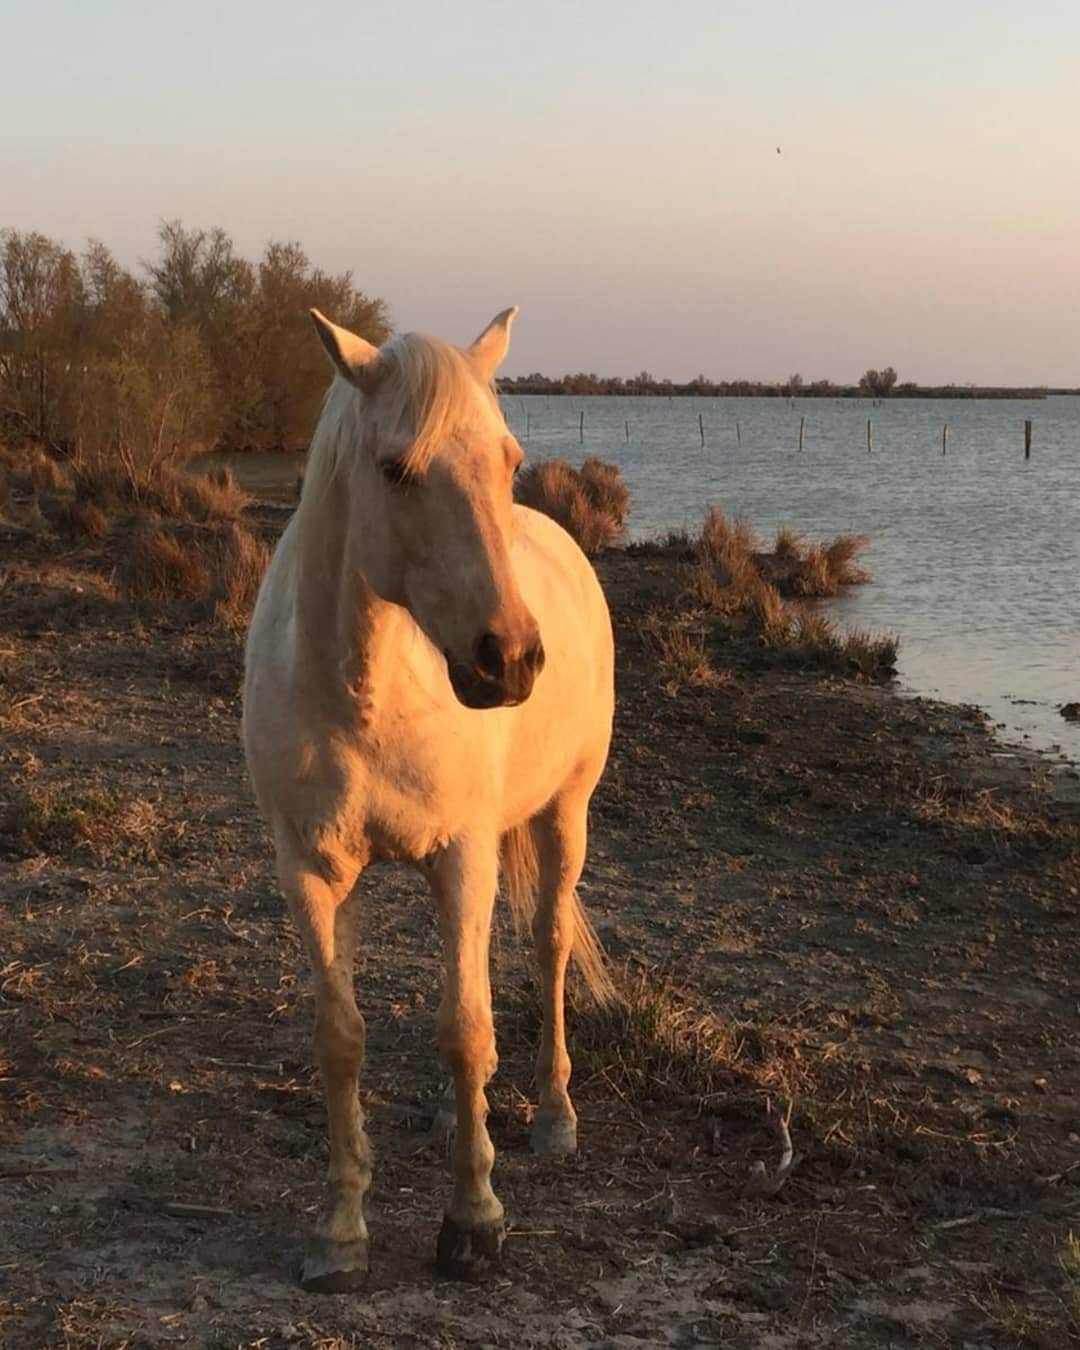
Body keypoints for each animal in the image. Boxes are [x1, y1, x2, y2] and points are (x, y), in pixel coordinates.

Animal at [245, 306, 615, 1285]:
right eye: (395, 470)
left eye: (508, 459)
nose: (510, 659)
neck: (364, 692)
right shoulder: (309, 870)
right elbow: (343, 1038)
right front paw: (341, 1231)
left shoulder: (465, 854)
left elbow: (465, 1029)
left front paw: (474, 1220)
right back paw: (461, 1114)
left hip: (563, 816)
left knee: (546, 946)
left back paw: (555, 1117)